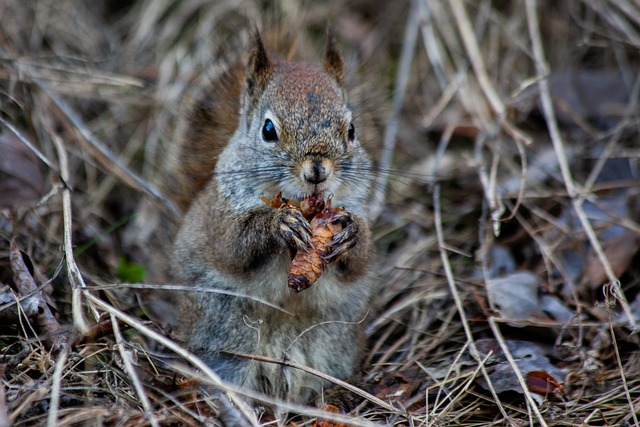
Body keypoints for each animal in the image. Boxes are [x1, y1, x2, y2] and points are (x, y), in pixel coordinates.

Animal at [156, 30, 376, 404]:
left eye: (351, 130)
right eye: (268, 130)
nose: (317, 169)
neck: (298, 202)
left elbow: (360, 261)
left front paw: (350, 231)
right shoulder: (220, 214)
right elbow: (233, 245)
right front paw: (279, 225)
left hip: (334, 340)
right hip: (226, 331)